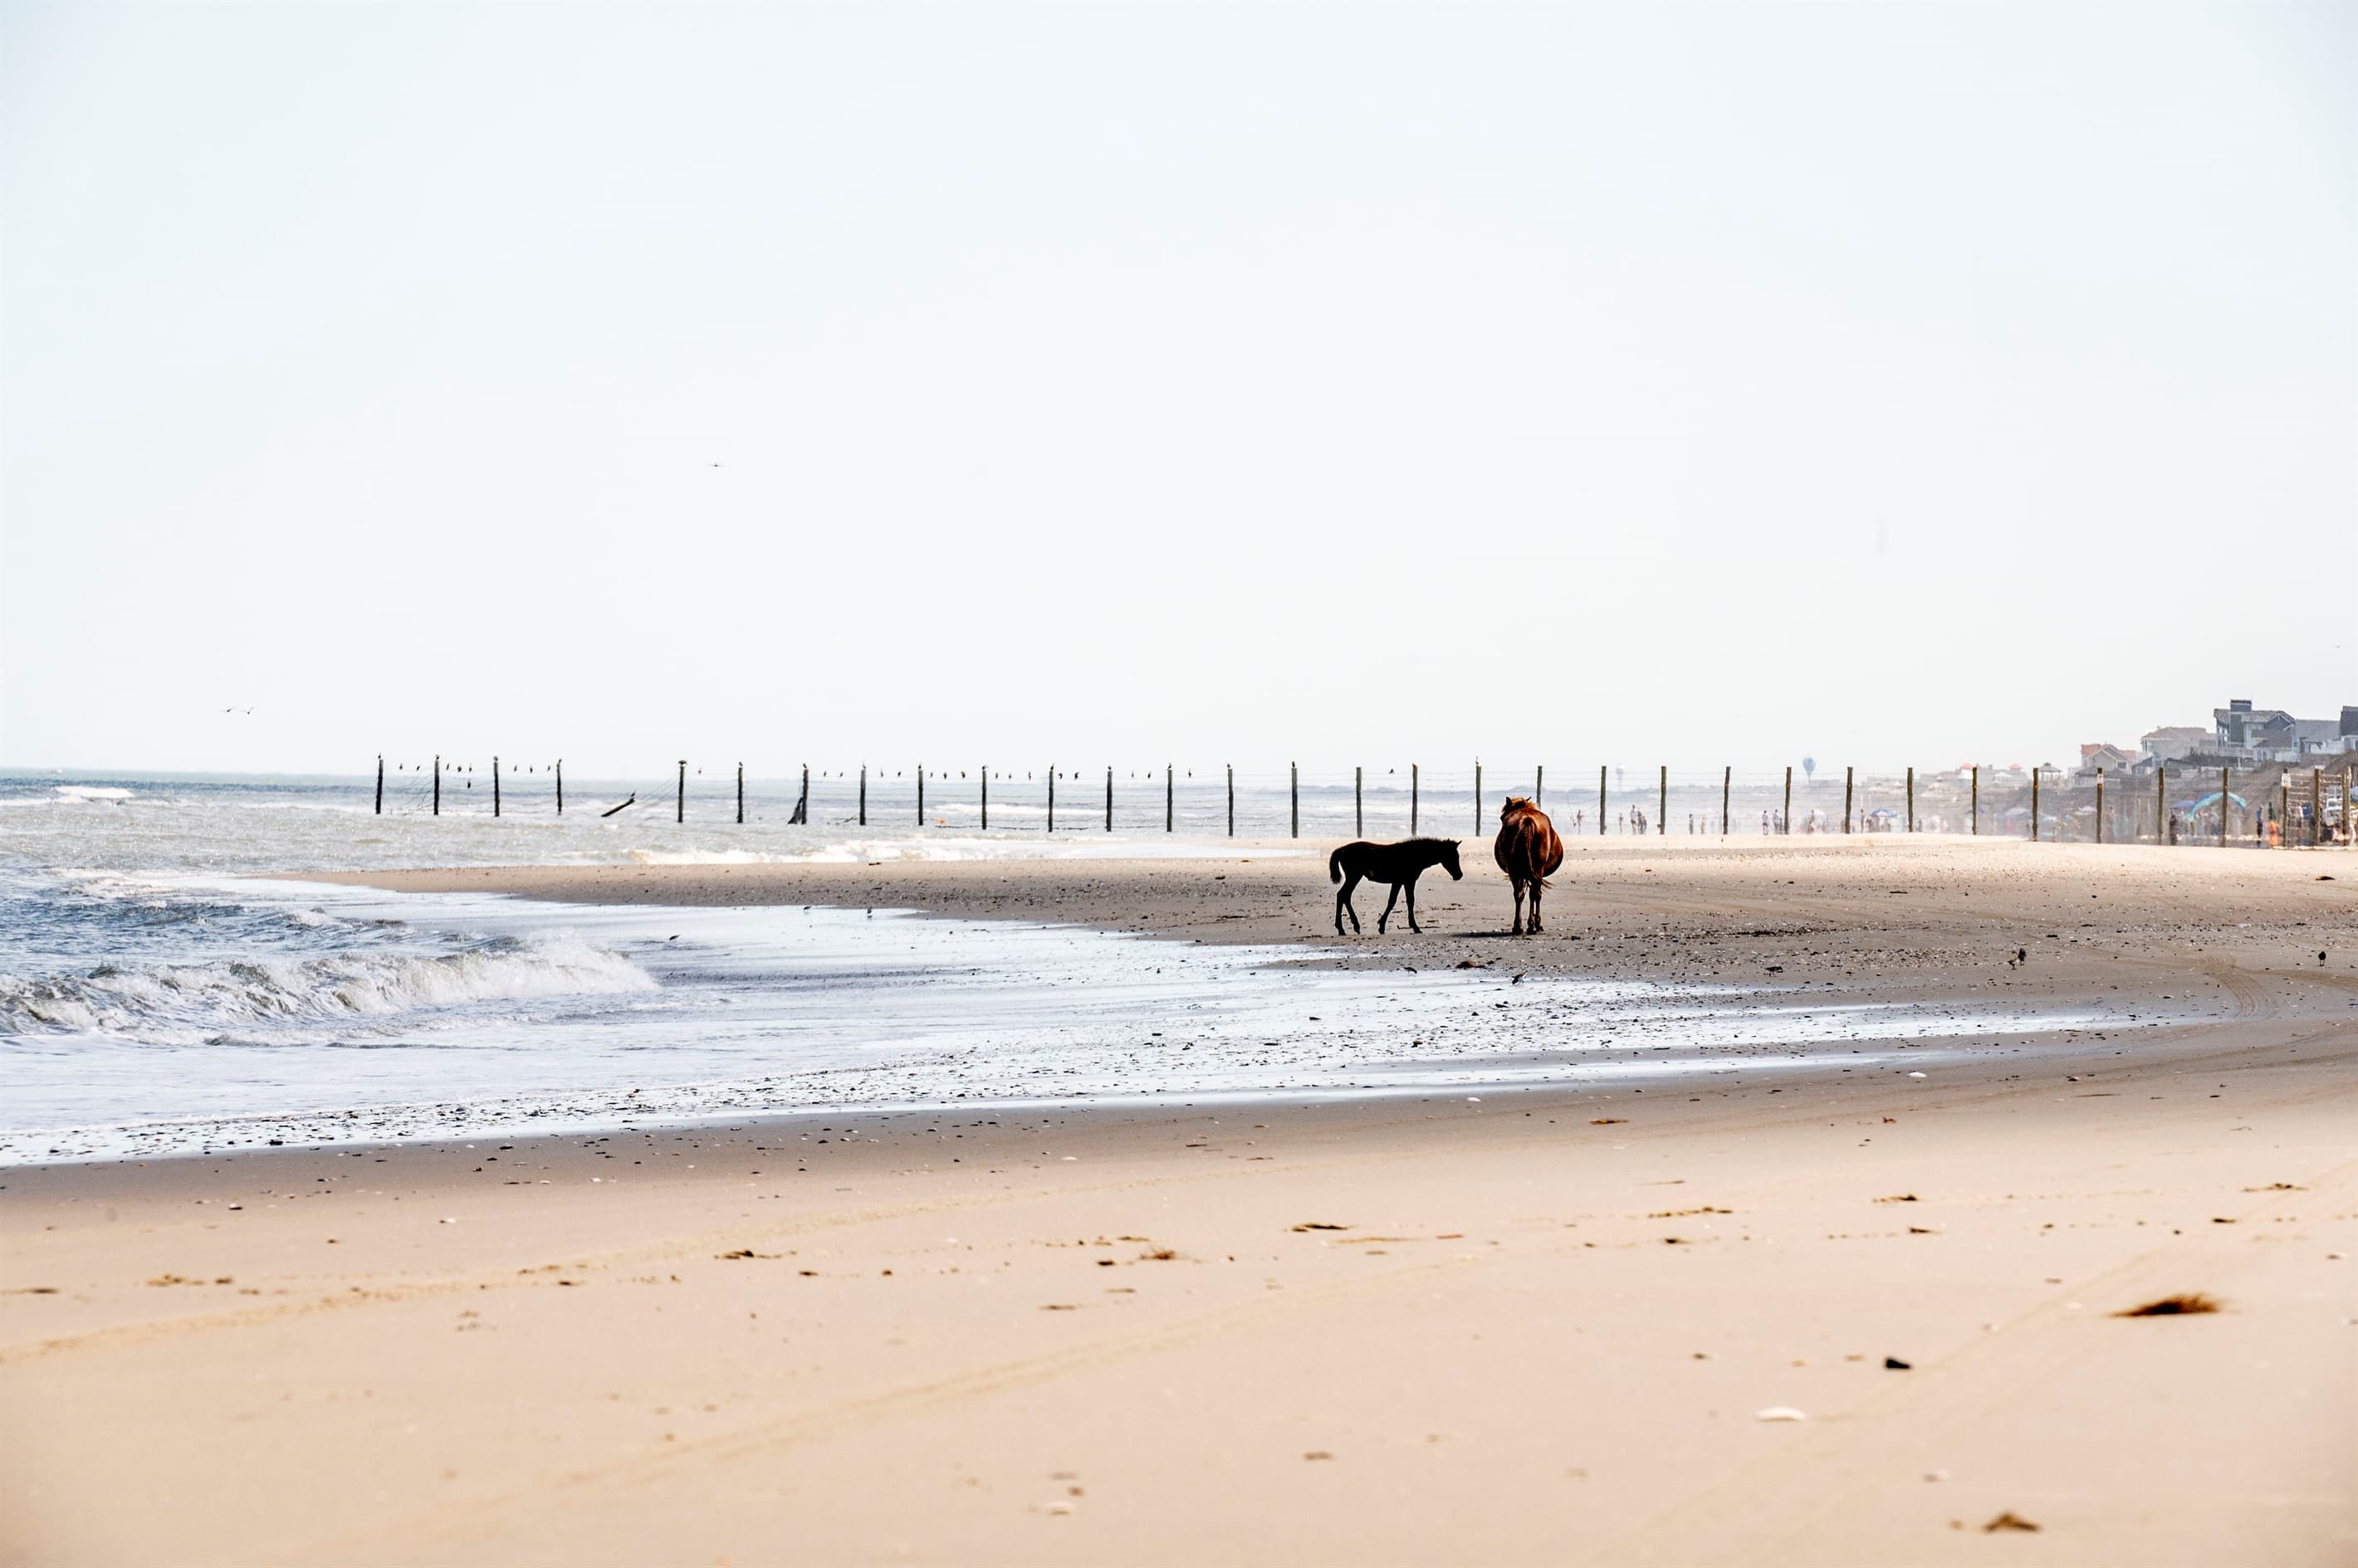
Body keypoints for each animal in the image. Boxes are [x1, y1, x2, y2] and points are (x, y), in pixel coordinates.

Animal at [1329, 838, 1463, 935]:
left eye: (1458, 856)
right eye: (1451, 856)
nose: (1459, 875)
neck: (1413, 855)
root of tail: (1342, 850)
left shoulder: (1401, 882)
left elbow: (1400, 901)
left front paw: (1383, 926)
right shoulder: (1406, 881)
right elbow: (1400, 901)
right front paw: (1415, 927)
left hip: (1354, 877)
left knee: (1345, 896)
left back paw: (1352, 927)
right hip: (1354, 876)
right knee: (1342, 895)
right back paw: (1344, 929)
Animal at [1493, 796, 1564, 934]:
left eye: (1502, 817)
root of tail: (1527, 820)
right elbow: (1537, 895)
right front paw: (1537, 923)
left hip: (1517, 870)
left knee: (1519, 894)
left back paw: (1519, 926)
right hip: (1536, 869)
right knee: (1533, 894)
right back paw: (1531, 926)